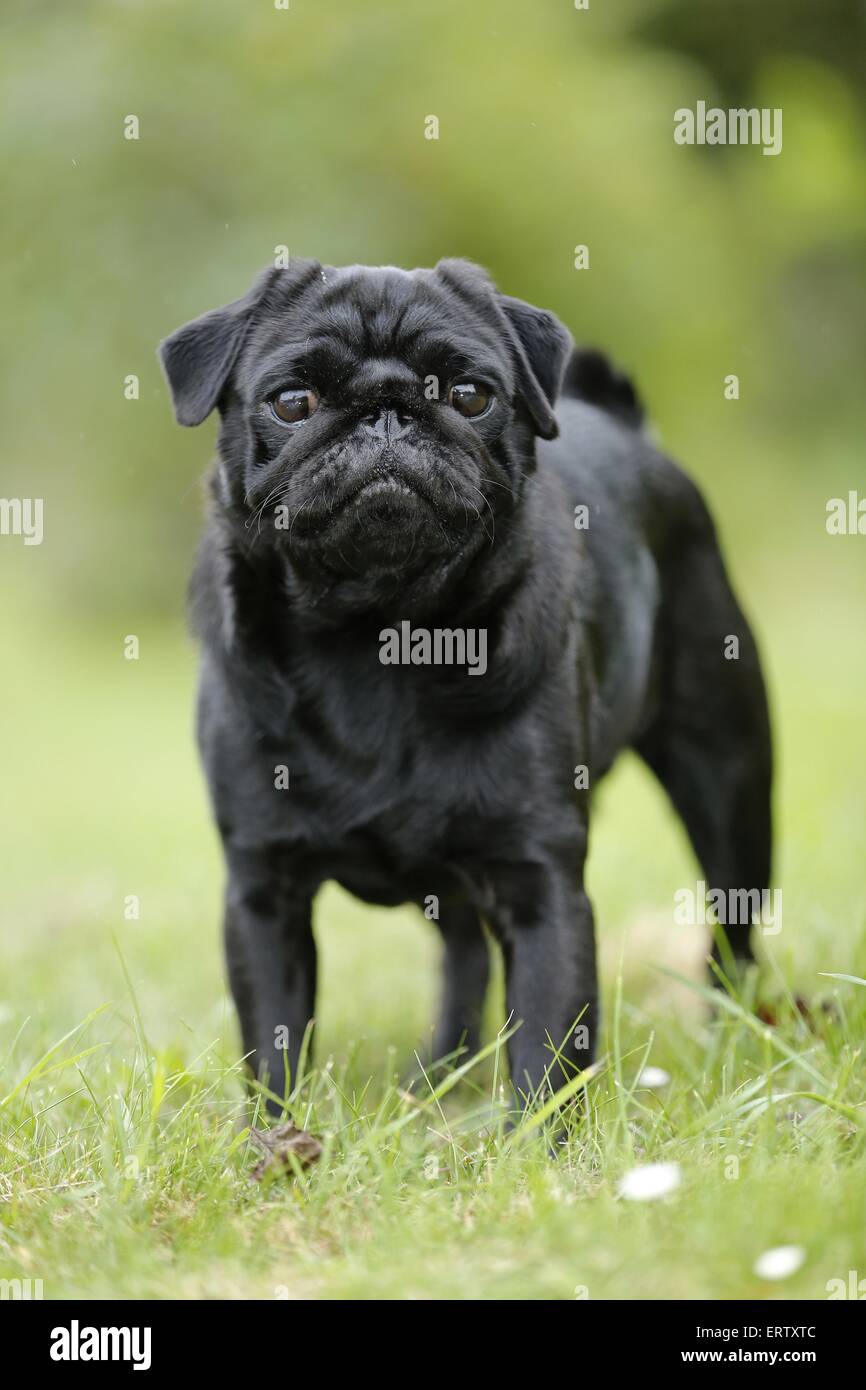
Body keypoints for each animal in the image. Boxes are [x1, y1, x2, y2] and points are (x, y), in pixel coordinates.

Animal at [157, 258, 772, 1106]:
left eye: (471, 395)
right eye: (293, 401)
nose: (387, 411)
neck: (377, 639)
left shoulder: (542, 883)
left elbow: (548, 1046)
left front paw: (538, 1140)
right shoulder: (262, 892)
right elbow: (274, 1045)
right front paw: (273, 1135)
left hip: (728, 783)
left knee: (733, 927)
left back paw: (734, 1047)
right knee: (463, 949)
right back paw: (441, 1072)